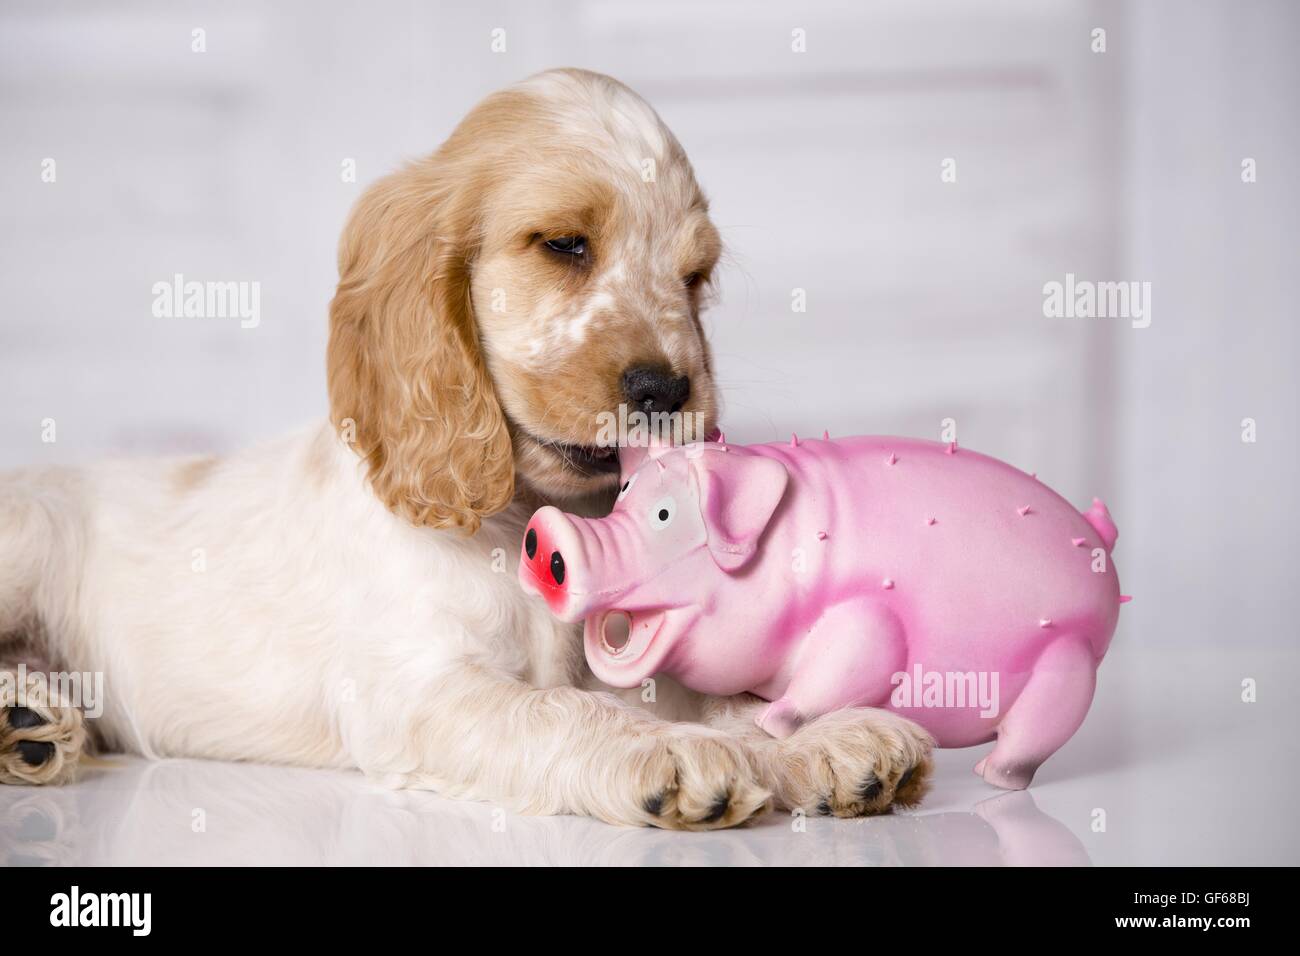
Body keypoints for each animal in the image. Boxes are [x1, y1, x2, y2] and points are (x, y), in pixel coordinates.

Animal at [2, 69, 935, 832]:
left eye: (694, 277)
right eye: (564, 244)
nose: (669, 392)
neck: (519, 515)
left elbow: (716, 700)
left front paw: (822, 738)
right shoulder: (423, 691)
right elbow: (564, 711)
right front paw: (666, 752)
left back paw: (34, 725)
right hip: (30, 535)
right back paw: (26, 720)